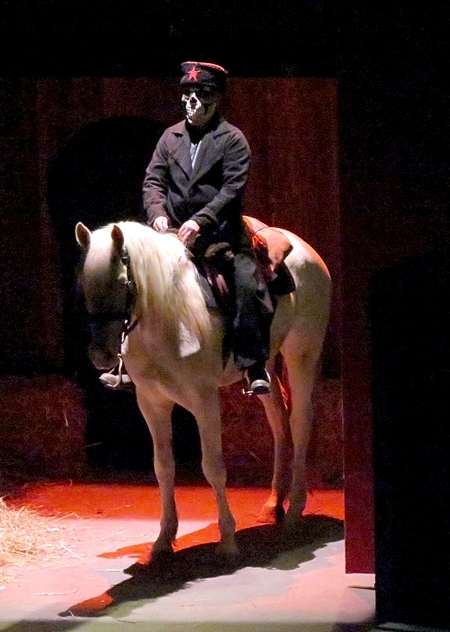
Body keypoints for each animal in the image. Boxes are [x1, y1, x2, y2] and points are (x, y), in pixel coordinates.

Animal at [75, 218, 330, 556]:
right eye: (83, 283)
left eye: (122, 282)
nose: (100, 356)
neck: (169, 317)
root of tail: (303, 247)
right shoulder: (152, 403)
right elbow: (163, 467)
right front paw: (163, 539)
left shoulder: (204, 401)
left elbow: (213, 467)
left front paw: (228, 540)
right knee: (278, 422)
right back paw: (274, 504)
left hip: (302, 351)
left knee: (300, 423)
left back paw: (294, 513)